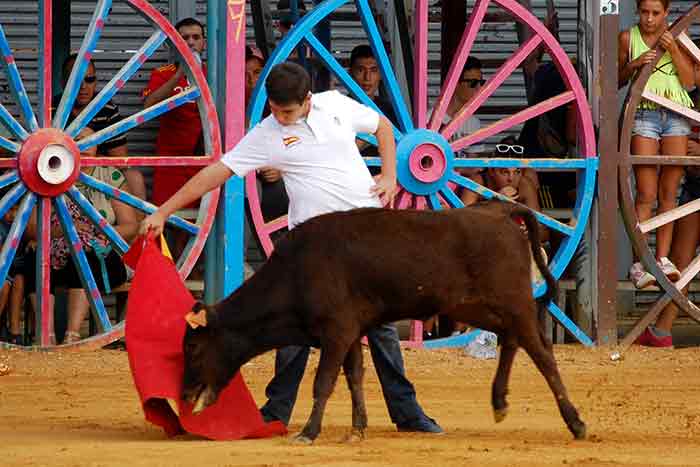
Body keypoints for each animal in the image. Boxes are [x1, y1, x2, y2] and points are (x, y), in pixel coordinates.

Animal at [180, 206, 584, 446]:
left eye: (194, 348)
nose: (183, 395)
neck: (295, 272)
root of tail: (499, 209)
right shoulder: (350, 332)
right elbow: (355, 376)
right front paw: (357, 428)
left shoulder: (337, 330)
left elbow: (323, 382)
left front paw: (309, 432)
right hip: (475, 306)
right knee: (512, 340)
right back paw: (499, 402)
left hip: (512, 302)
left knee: (542, 353)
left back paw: (575, 423)